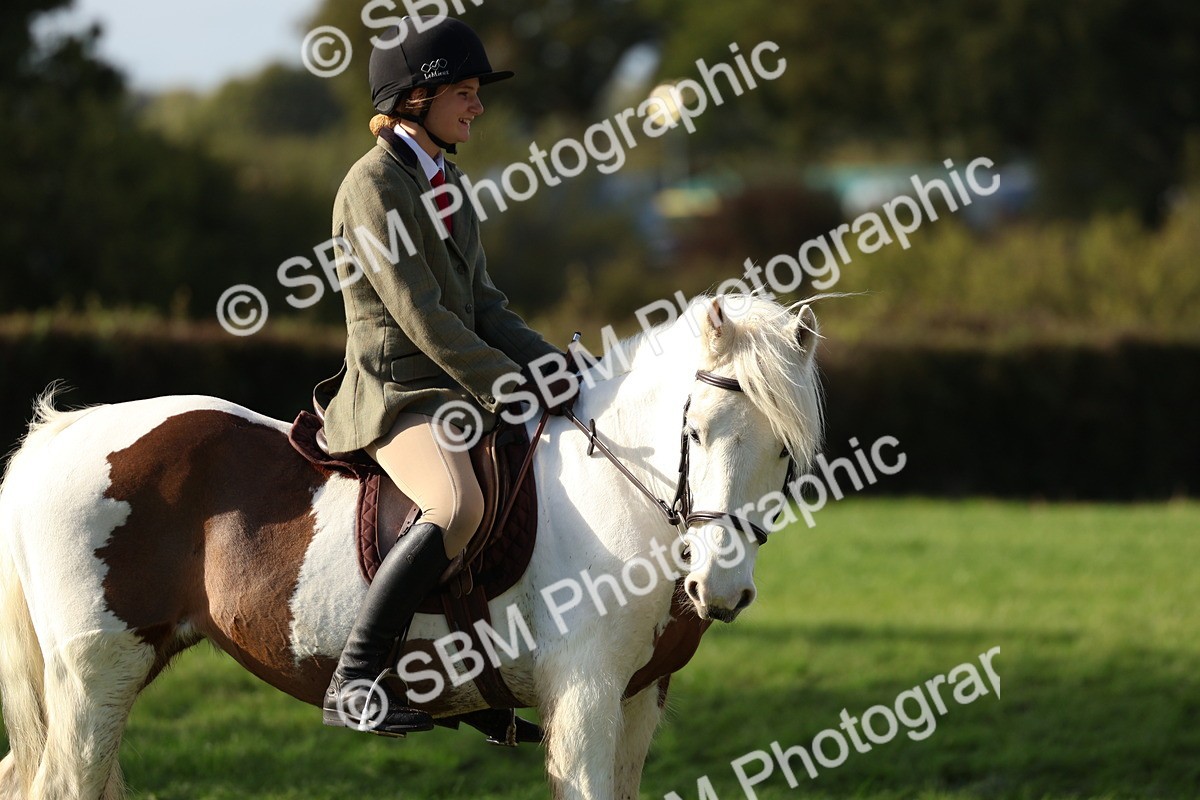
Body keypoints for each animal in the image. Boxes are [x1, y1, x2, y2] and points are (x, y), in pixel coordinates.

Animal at [0, 294, 822, 800]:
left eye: (785, 451)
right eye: (696, 433)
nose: (721, 589)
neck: (620, 489)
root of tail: (62, 433)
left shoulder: (639, 698)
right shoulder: (584, 694)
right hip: (95, 674)